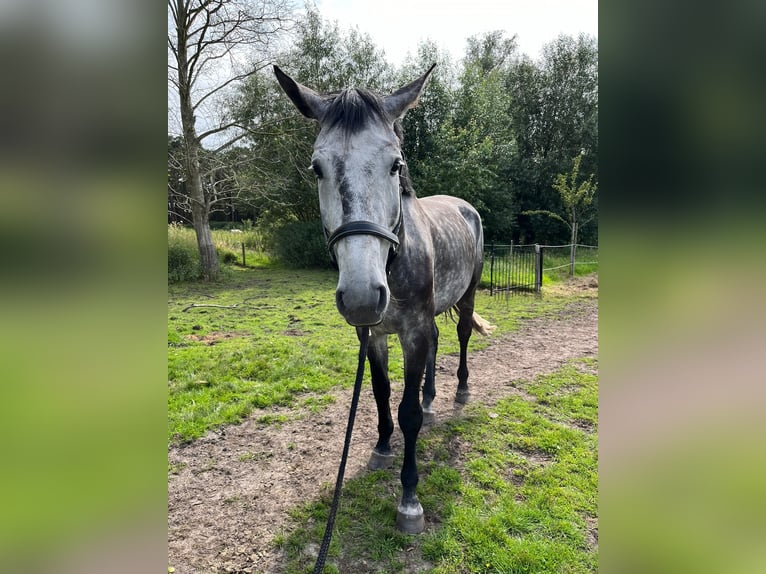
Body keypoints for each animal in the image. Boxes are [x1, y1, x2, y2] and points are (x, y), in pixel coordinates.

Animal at [274, 64, 492, 536]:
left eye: (396, 165)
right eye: (316, 168)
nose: (360, 295)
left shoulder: (411, 333)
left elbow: (406, 410)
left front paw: (409, 499)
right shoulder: (371, 334)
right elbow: (379, 391)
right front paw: (382, 446)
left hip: (466, 295)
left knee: (462, 335)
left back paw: (460, 391)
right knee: (437, 343)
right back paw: (432, 399)